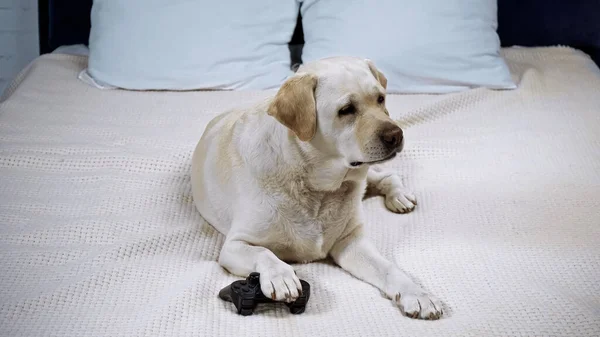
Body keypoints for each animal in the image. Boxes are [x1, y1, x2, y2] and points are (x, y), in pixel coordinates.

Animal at [190, 56, 442, 318]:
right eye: (346, 110)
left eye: (381, 99)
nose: (396, 135)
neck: (317, 186)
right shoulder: (234, 245)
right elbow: (263, 252)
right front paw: (281, 276)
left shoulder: (351, 241)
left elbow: (388, 268)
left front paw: (417, 293)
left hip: (367, 175)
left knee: (388, 175)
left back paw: (400, 196)